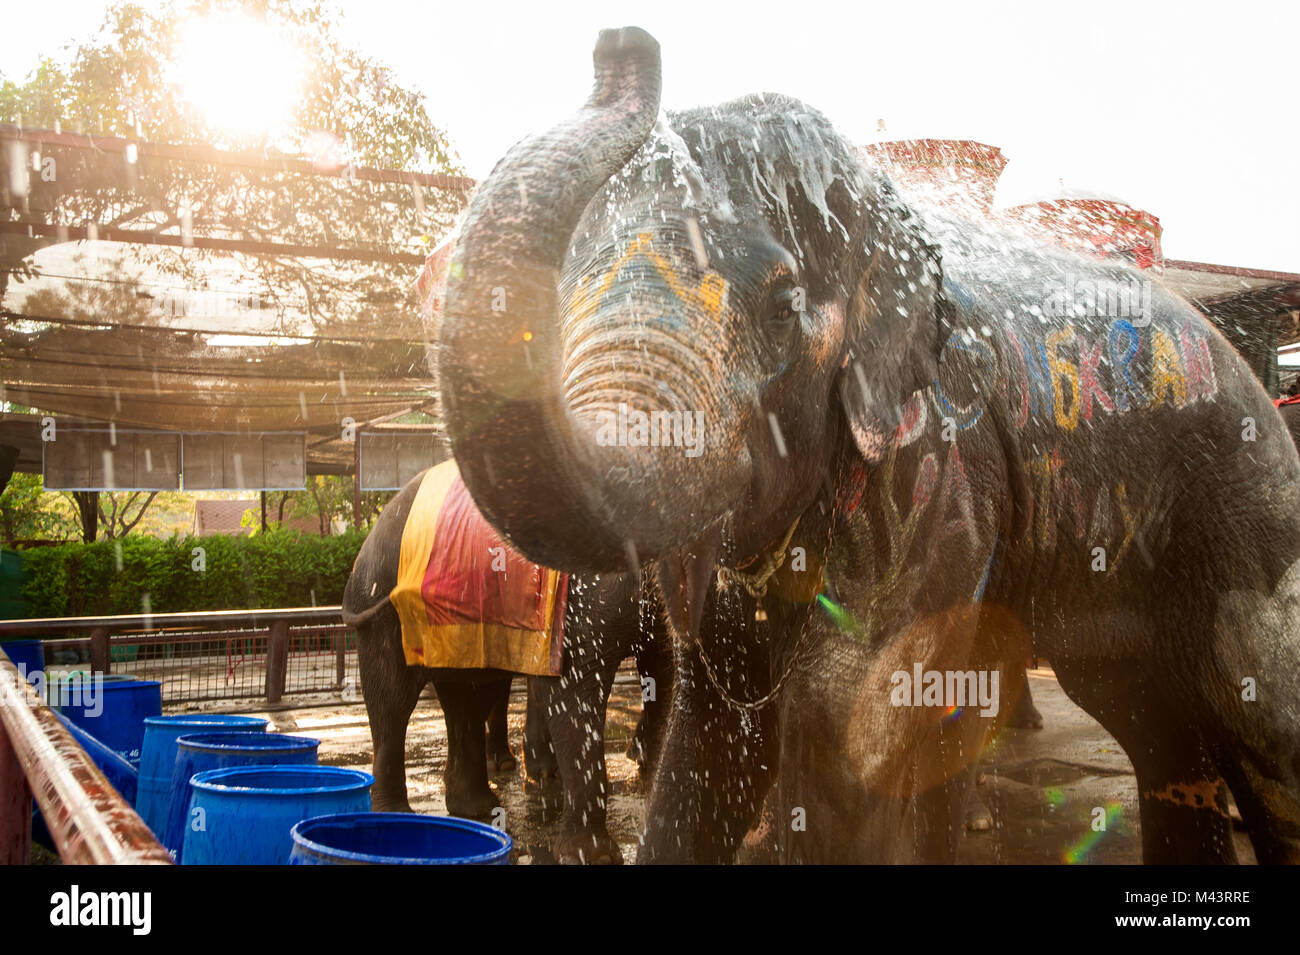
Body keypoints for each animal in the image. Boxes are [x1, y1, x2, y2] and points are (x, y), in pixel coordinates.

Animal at [341, 465, 673, 863]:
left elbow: (662, 674)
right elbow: (572, 687)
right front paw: (595, 857)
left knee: (468, 695)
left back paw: (478, 809)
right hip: (382, 610)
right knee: (392, 698)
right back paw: (399, 818)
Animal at [434, 26, 1300, 865]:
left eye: (782, 308)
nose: (623, 41)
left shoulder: (933, 479)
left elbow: (858, 719)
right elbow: (712, 746)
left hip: (1249, 507)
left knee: (1261, 721)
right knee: (1150, 717)